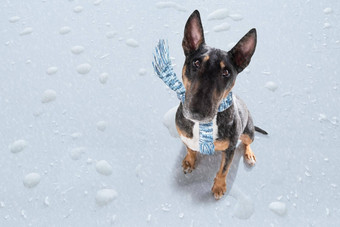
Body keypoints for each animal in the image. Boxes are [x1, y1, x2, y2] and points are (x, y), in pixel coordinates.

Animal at [175, 9, 268, 200]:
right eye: (196, 63)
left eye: (226, 72)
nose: (197, 112)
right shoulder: (184, 135)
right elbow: (189, 149)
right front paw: (189, 161)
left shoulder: (230, 149)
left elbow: (224, 169)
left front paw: (219, 187)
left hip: (248, 131)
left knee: (247, 142)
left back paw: (249, 155)